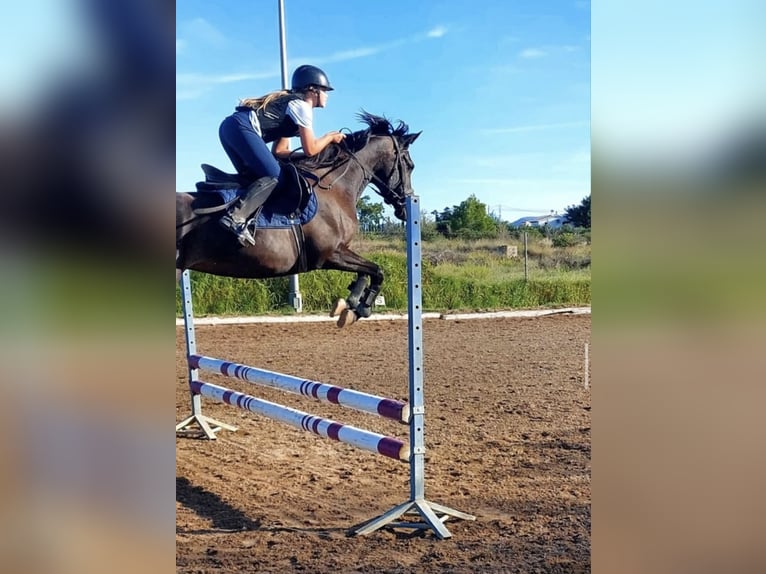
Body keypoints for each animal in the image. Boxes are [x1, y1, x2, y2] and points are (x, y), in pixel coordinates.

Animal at [176, 112, 421, 327]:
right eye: (410, 165)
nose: (406, 207)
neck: (334, 188)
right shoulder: (330, 254)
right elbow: (377, 271)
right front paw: (362, 307)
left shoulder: (340, 251)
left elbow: (367, 271)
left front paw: (350, 303)